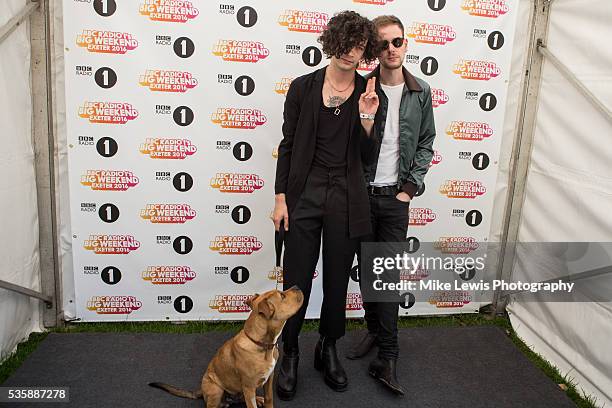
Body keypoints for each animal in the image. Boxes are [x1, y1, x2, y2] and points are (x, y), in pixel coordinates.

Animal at [151, 286, 304, 406]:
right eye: (282, 295)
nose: (297, 286)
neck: (262, 345)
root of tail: (201, 390)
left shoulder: (268, 379)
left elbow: (269, 399)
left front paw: (264, 401)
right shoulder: (249, 387)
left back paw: (258, 399)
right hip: (216, 389)